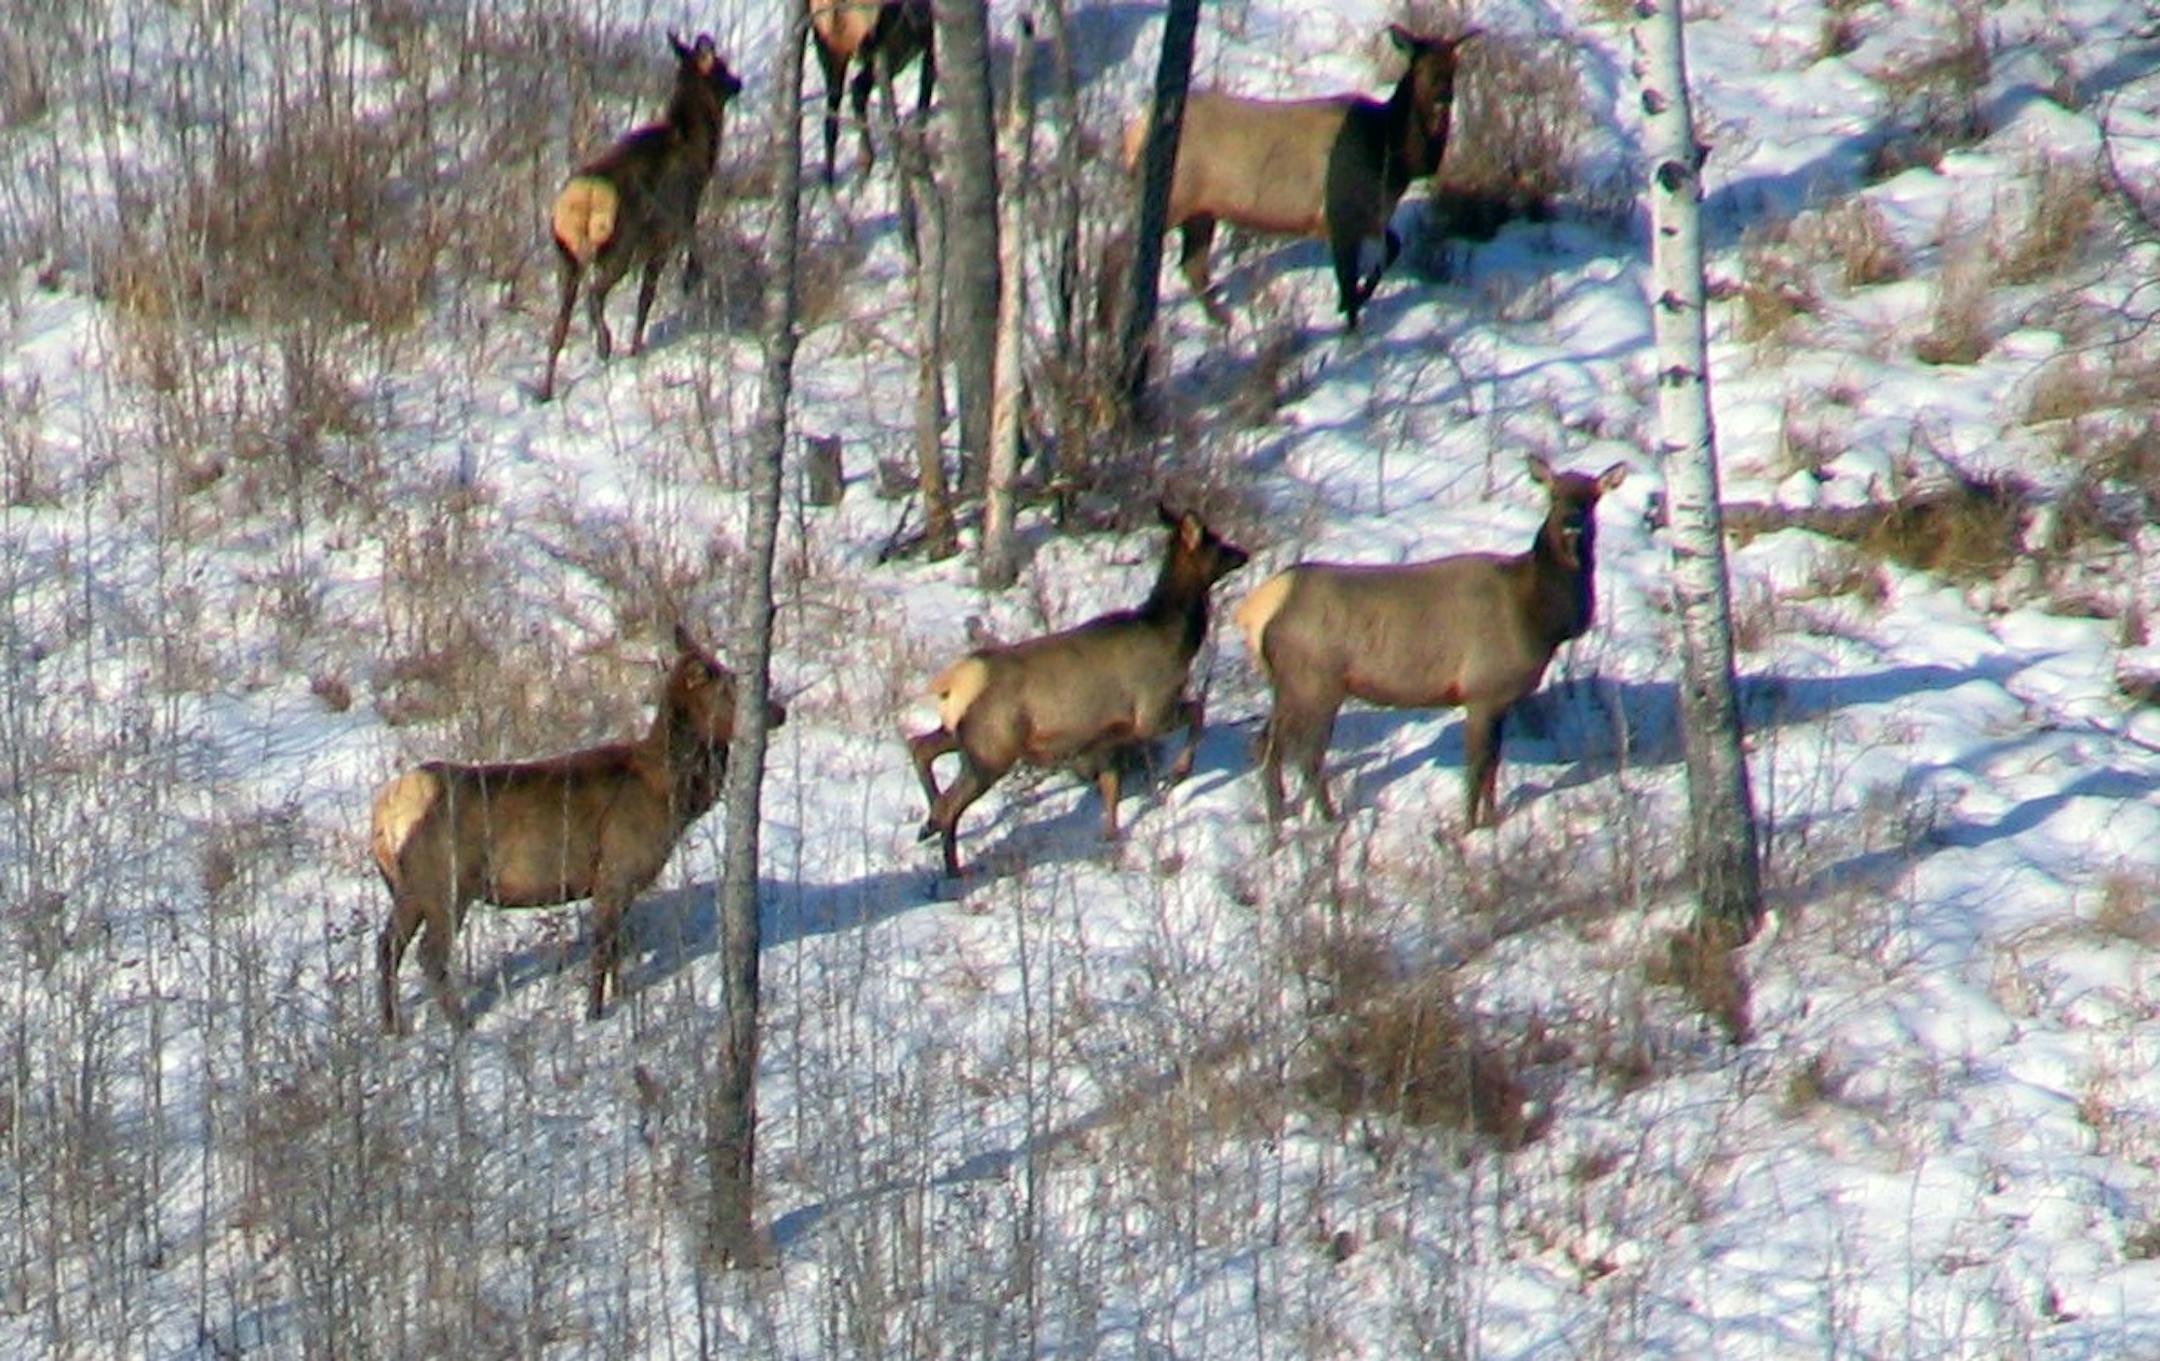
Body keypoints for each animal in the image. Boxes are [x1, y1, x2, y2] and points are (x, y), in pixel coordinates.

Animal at [371, 625, 786, 1032]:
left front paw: (621, 998)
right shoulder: (617, 868)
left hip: (408, 889)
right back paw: (462, 1026)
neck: (671, 795)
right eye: (730, 687)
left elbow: (617, 945)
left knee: (387, 944)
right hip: (447, 882)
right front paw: (594, 1015)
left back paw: (393, 1028)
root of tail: (385, 814)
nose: (779, 710)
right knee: (429, 954)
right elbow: (602, 946)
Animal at [539, 32, 743, 403]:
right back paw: (605, 345)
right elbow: (650, 295)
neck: (699, 152)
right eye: (721, 67)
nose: (738, 82)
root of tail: (585, 197)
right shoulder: (672, 223)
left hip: (565, 257)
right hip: (619, 245)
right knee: (596, 294)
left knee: (558, 327)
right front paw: (689, 279)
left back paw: (546, 389)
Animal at [907, 507, 1250, 878]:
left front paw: (1111, 839)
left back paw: (932, 833)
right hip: (993, 746)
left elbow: (1111, 788)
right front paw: (1179, 771)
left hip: (969, 736)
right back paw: (948, 858)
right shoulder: (1151, 711)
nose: (1243, 554)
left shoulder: (1109, 734)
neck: (1176, 640)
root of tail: (958, 680)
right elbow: (1198, 709)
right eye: (1216, 542)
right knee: (948, 802)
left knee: (920, 746)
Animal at [1121, 25, 1476, 332]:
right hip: (1175, 195)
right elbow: (1348, 279)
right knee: (1124, 249)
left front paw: (1349, 305)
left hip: (1202, 209)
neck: (1391, 155)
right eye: (1420, 66)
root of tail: (1137, 127)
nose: (1443, 98)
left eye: (1454, 66)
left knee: (1191, 264)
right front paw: (1350, 328)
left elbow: (1392, 248)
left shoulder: (1370, 218)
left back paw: (1222, 319)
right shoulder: (1341, 215)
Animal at [1234, 456, 1628, 830]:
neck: (1540, 618)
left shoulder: (1500, 698)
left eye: (1592, 498)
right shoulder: (1482, 691)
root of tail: (1255, 610)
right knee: (1306, 754)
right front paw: (1468, 828)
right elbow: (1477, 766)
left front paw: (1491, 821)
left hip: (1288, 685)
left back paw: (1278, 824)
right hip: (1316, 684)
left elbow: (1493, 764)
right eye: (1554, 494)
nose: (1572, 524)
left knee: (1264, 744)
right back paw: (1328, 823)